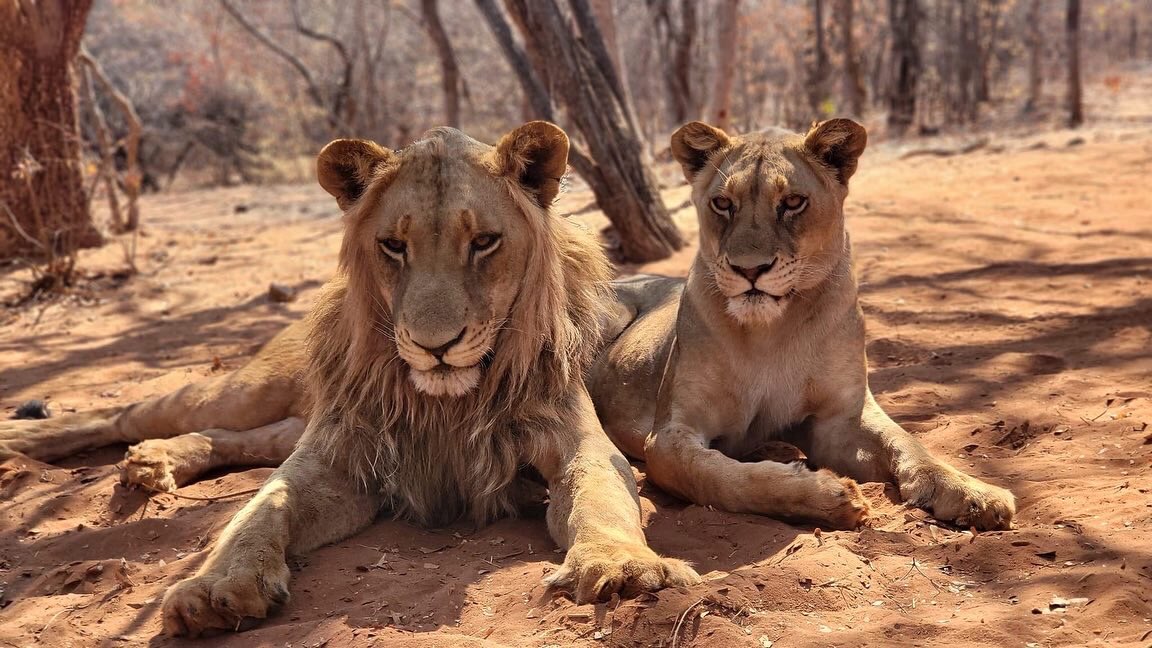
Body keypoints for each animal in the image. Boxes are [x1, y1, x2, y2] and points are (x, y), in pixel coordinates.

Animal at [1, 122, 699, 636]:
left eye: (484, 243)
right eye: (393, 246)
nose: (435, 347)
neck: (445, 404)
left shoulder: (578, 444)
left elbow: (601, 499)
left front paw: (620, 567)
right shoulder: (334, 455)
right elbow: (256, 513)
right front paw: (215, 588)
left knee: (231, 439)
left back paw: (154, 463)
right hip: (245, 390)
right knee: (133, 414)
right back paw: (26, 444)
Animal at [587, 119, 1016, 531]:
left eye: (792, 202)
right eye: (722, 203)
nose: (749, 269)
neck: (769, 332)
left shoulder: (837, 422)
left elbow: (908, 442)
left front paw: (972, 492)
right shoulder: (669, 435)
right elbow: (720, 477)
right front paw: (829, 497)